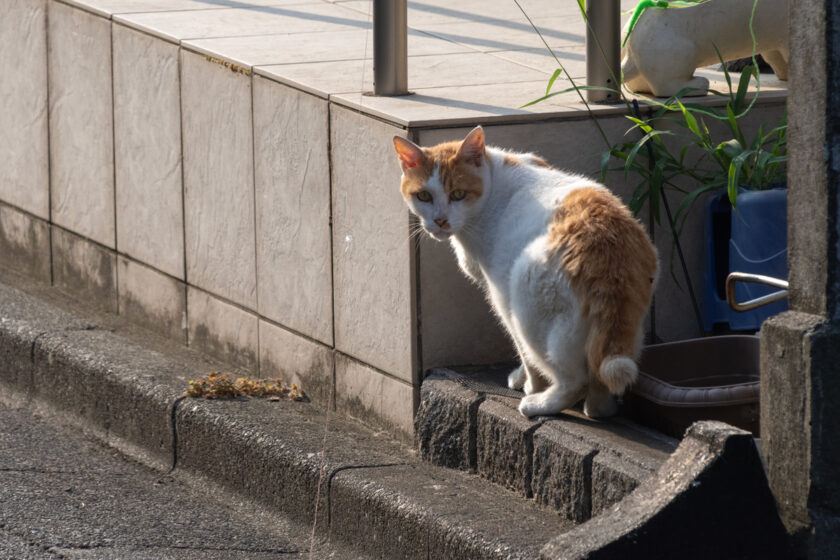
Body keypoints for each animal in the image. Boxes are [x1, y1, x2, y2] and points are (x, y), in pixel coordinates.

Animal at [390, 127, 660, 416]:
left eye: (458, 194)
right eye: (424, 196)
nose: (440, 220)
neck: (494, 182)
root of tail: (608, 252)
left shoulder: (501, 294)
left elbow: (522, 350)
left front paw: (531, 384)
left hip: (527, 297)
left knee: (574, 379)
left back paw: (540, 403)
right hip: (629, 326)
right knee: (600, 379)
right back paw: (599, 408)